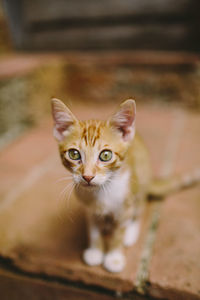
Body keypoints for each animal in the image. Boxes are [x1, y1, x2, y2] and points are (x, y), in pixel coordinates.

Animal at [51, 99, 200, 274]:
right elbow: (94, 231)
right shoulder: (89, 209)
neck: (102, 192)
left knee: (139, 210)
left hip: (141, 181)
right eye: (74, 154)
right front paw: (95, 251)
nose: (87, 176)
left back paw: (130, 232)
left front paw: (114, 257)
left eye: (105, 155)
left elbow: (119, 234)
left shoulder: (125, 204)